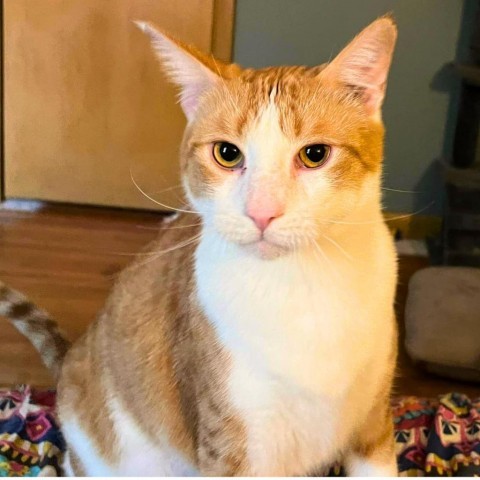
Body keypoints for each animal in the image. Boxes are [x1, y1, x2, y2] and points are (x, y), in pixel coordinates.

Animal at [0, 15, 398, 476]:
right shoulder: (231, 440)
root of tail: (69, 363)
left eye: (315, 154)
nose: (262, 212)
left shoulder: (373, 423)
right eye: (227, 153)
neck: (302, 286)